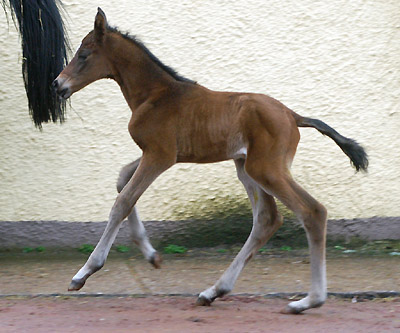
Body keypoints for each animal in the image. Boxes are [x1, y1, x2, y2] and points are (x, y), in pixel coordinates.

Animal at [51, 8, 368, 314]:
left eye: (83, 54)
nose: (57, 84)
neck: (156, 94)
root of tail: (293, 115)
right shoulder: (155, 153)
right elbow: (121, 181)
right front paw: (151, 255)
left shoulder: (160, 155)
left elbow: (123, 201)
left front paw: (84, 273)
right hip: (246, 168)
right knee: (267, 219)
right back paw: (213, 292)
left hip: (266, 170)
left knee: (312, 212)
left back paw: (308, 301)